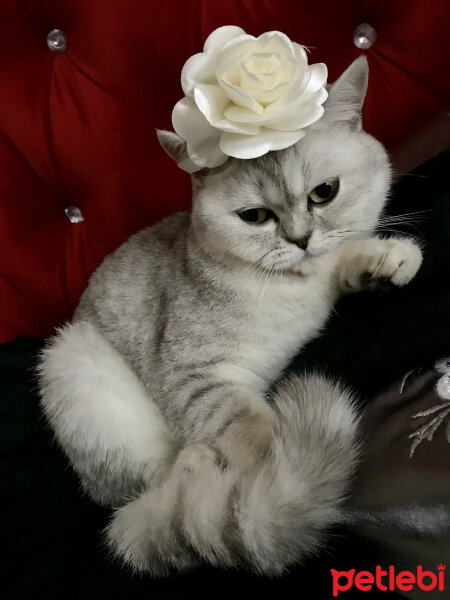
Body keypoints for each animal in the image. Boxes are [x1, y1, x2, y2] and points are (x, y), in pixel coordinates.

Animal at [37, 57, 422, 576]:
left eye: (324, 193)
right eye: (254, 217)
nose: (300, 239)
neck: (289, 289)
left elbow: (340, 260)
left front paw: (383, 260)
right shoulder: (190, 375)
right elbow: (249, 424)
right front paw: (272, 470)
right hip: (75, 360)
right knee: (158, 484)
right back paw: (197, 467)